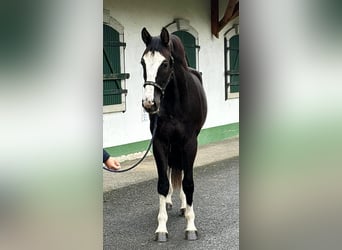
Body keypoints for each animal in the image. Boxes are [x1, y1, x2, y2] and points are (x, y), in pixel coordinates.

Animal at [141, 26, 207, 240]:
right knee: (171, 169)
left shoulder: (190, 143)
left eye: (165, 63)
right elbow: (162, 182)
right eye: (143, 62)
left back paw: (184, 206)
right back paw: (171, 202)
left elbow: (188, 183)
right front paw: (161, 228)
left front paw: (190, 226)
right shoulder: (159, 142)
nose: (149, 103)